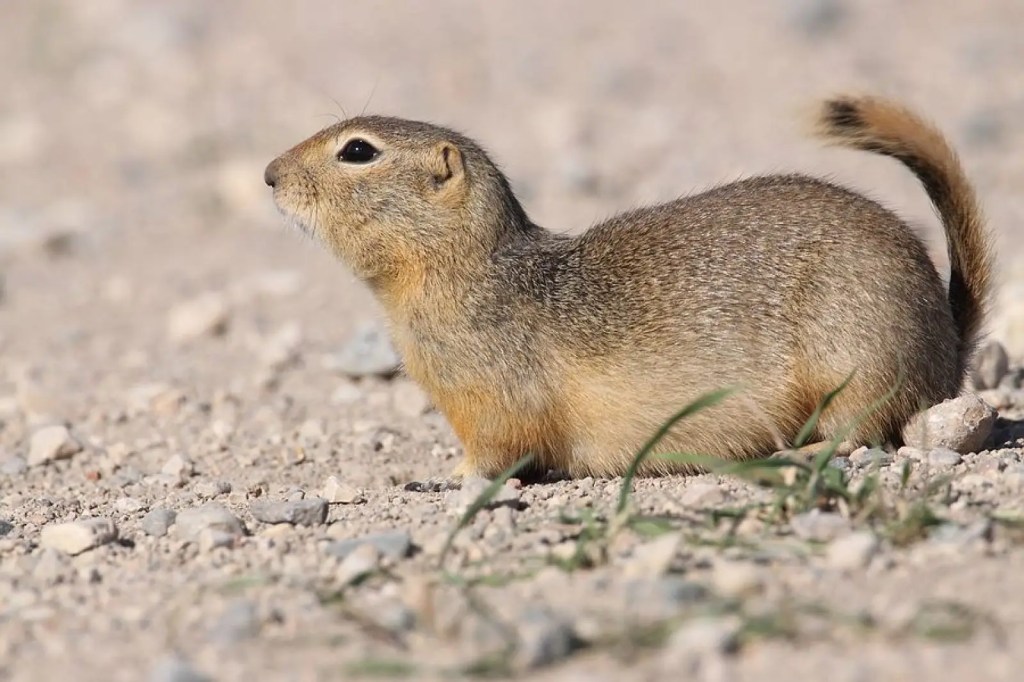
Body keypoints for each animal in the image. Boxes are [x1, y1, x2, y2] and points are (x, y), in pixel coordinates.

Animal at [264, 95, 993, 479]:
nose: (269, 174)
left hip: (859, 363)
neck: (470, 271)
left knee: (866, 434)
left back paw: (799, 450)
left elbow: (496, 452)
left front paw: (446, 476)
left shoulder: (495, 401)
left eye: (358, 151)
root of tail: (948, 344)